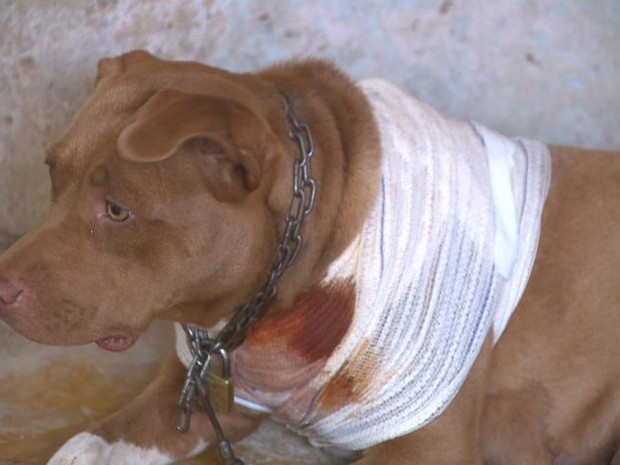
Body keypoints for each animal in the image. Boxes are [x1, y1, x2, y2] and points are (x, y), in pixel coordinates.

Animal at [0, 49, 616, 462]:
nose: (0, 288)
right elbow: (91, 441)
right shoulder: (195, 391)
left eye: (118, 210)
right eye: (53, 175)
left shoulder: (424, 445)